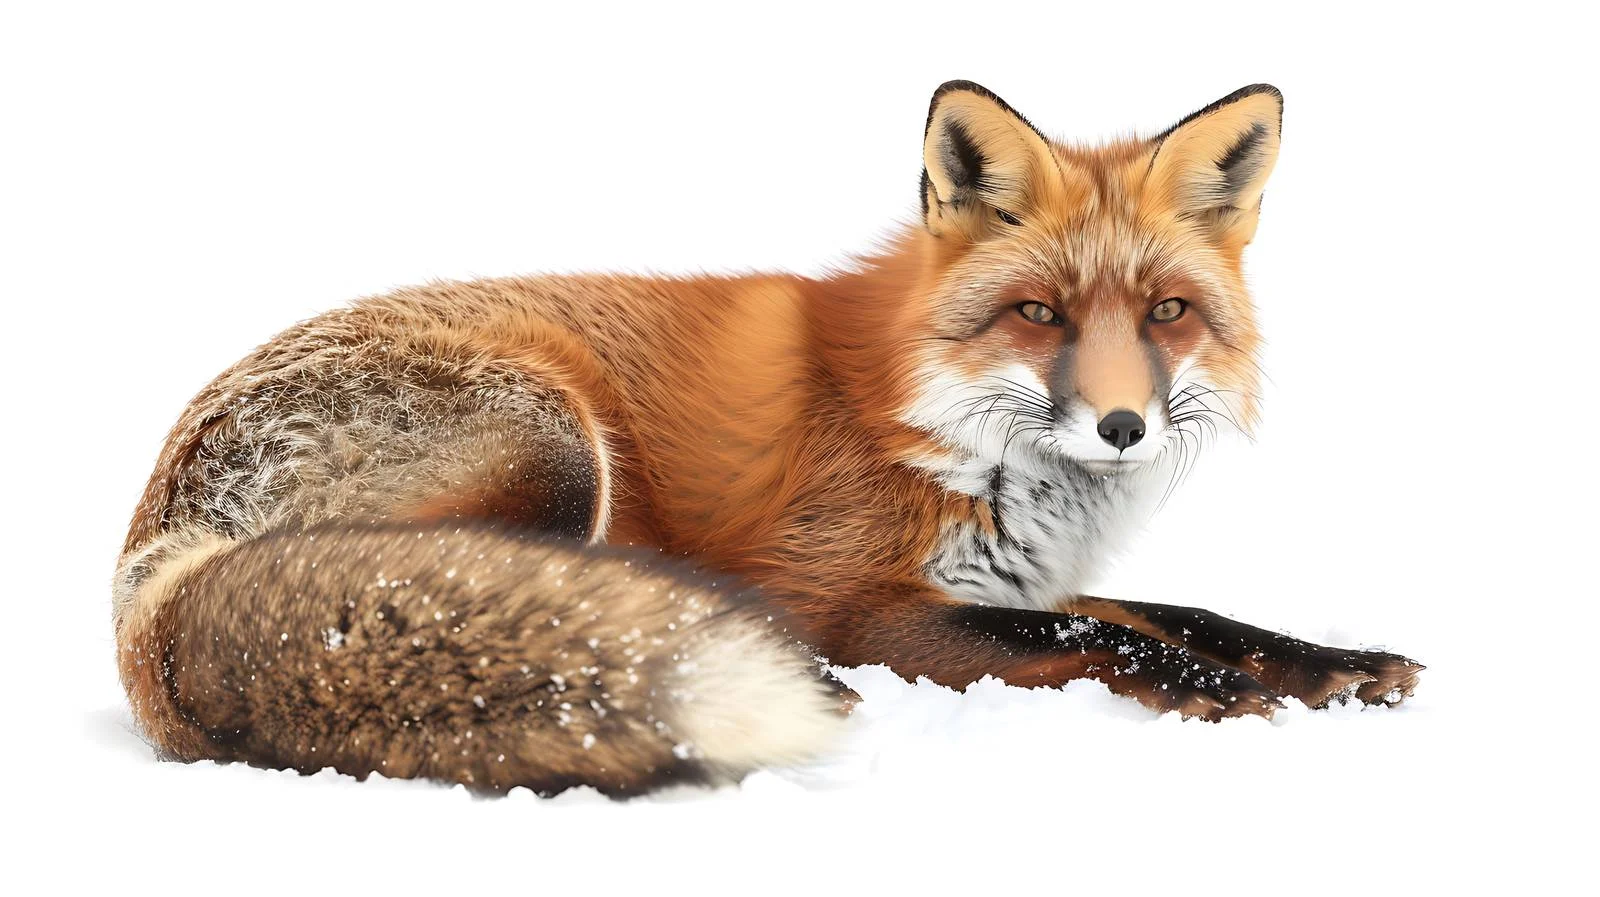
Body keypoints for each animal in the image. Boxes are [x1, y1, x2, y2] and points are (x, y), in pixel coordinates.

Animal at [115, 81, 1422, 796]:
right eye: (1039, 314)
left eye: (1166, 315)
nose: (1120, 427)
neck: (938, 419)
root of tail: (153, 570)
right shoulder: (858, 599)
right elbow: (1097, 636)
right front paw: (1220, 692)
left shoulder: (1000, 574)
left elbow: (1182, 612)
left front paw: (1330, 665)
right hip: (559, 445)